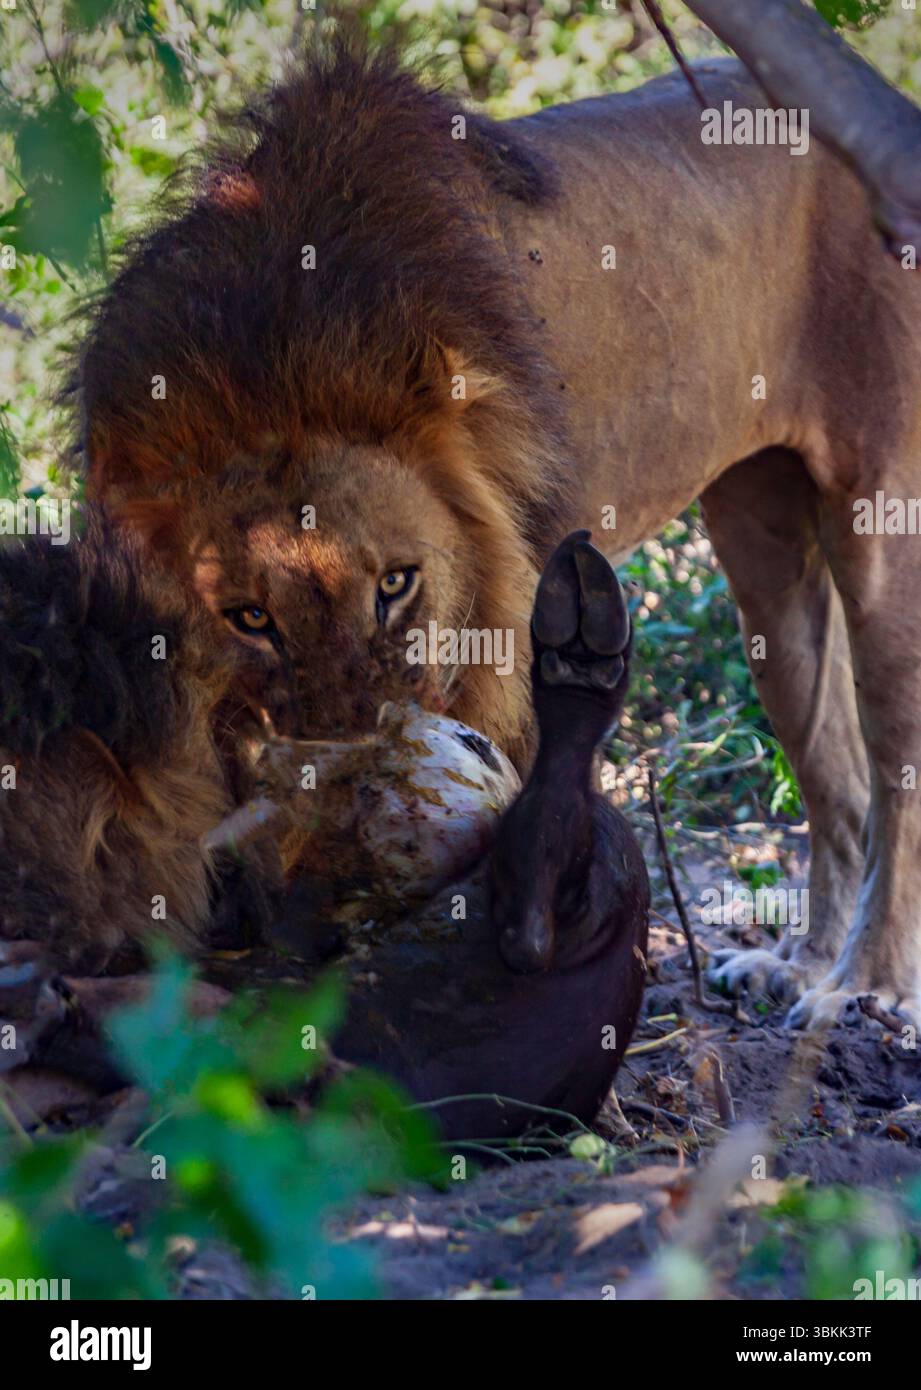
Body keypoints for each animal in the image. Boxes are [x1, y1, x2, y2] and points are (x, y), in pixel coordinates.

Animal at [70, 35, 921, 1031]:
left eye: (395, 584)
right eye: (251, 619)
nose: (352, 784)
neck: (278, 356)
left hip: (879, 518)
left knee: (894, 774)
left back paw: (859, 986)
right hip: (762, 553)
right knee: (834, 779)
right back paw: (798, 966)